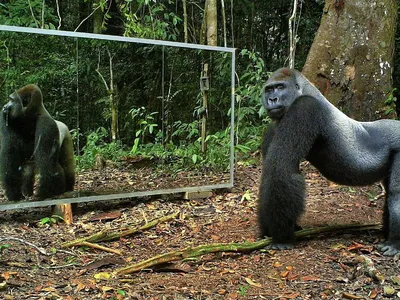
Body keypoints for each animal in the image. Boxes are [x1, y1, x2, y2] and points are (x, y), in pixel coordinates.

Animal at [258, 67, 400, 255]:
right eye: (269, 90)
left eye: (280, 87)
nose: (272, 99)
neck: (306, 90)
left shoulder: (305, 108)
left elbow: (281, 169)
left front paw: (282, 237)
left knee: (396, 194)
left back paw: (395, 242)